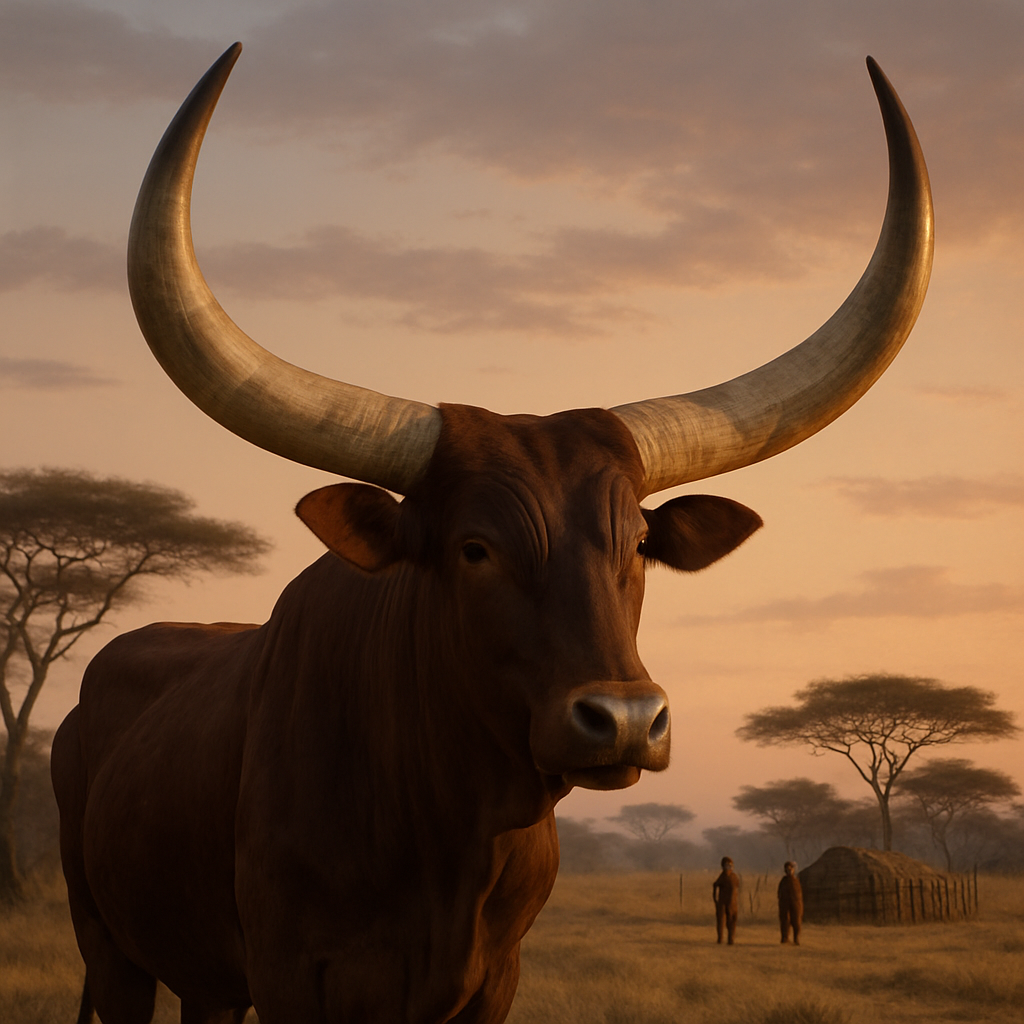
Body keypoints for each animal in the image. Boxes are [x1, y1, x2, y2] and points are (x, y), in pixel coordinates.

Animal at [51, 44, 932, 1024]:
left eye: (636, 545)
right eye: (474, 549)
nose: (625, 721)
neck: (446, 833)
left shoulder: (494, 977)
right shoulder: (290, 972)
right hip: (109, 943)